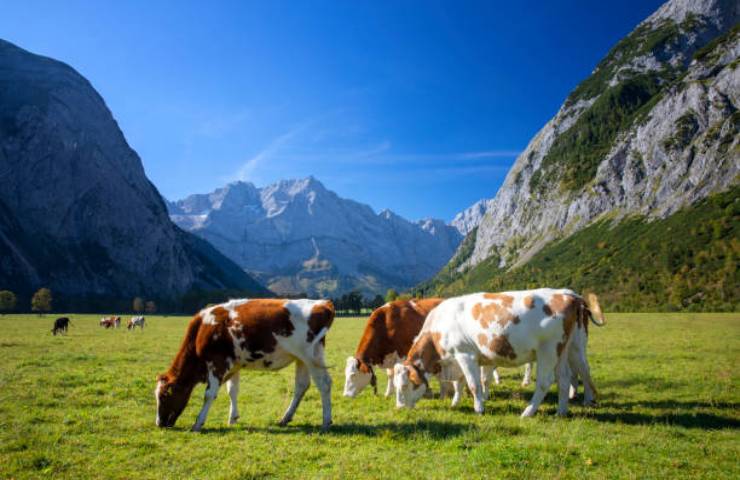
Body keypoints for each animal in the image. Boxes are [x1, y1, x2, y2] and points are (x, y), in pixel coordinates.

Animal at [156, 300, 336, 432]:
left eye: (164, 396)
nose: (159, 423)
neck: (202, 329)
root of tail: (322, 303)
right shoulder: (234, 364)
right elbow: (232, 391)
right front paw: (232, 418)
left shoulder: (216, 362)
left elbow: (209, 394)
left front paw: (198, 423)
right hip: (303, 359)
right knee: (301, 386)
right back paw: (285, 418)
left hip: (311, 357)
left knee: (324, 384)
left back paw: (326, 422)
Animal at [346, 298, 498, 404]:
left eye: (353, 375)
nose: (345, 395)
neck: (386, 323)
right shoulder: (390, 356)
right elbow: (390, 374)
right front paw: (388, 393)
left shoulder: (402, 355)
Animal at [396, 288, 604, 416]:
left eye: (405, 385)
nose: (399, 407)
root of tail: (569, 296)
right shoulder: (459, 359)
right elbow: (460, 383)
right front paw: (455, 402)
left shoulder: (465, 355)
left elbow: (473, 384)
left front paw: (479, 408)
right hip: (567, 349)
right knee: (565, 378)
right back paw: (561, 411)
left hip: (548, 350)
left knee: (546, 382)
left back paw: (528, 412)